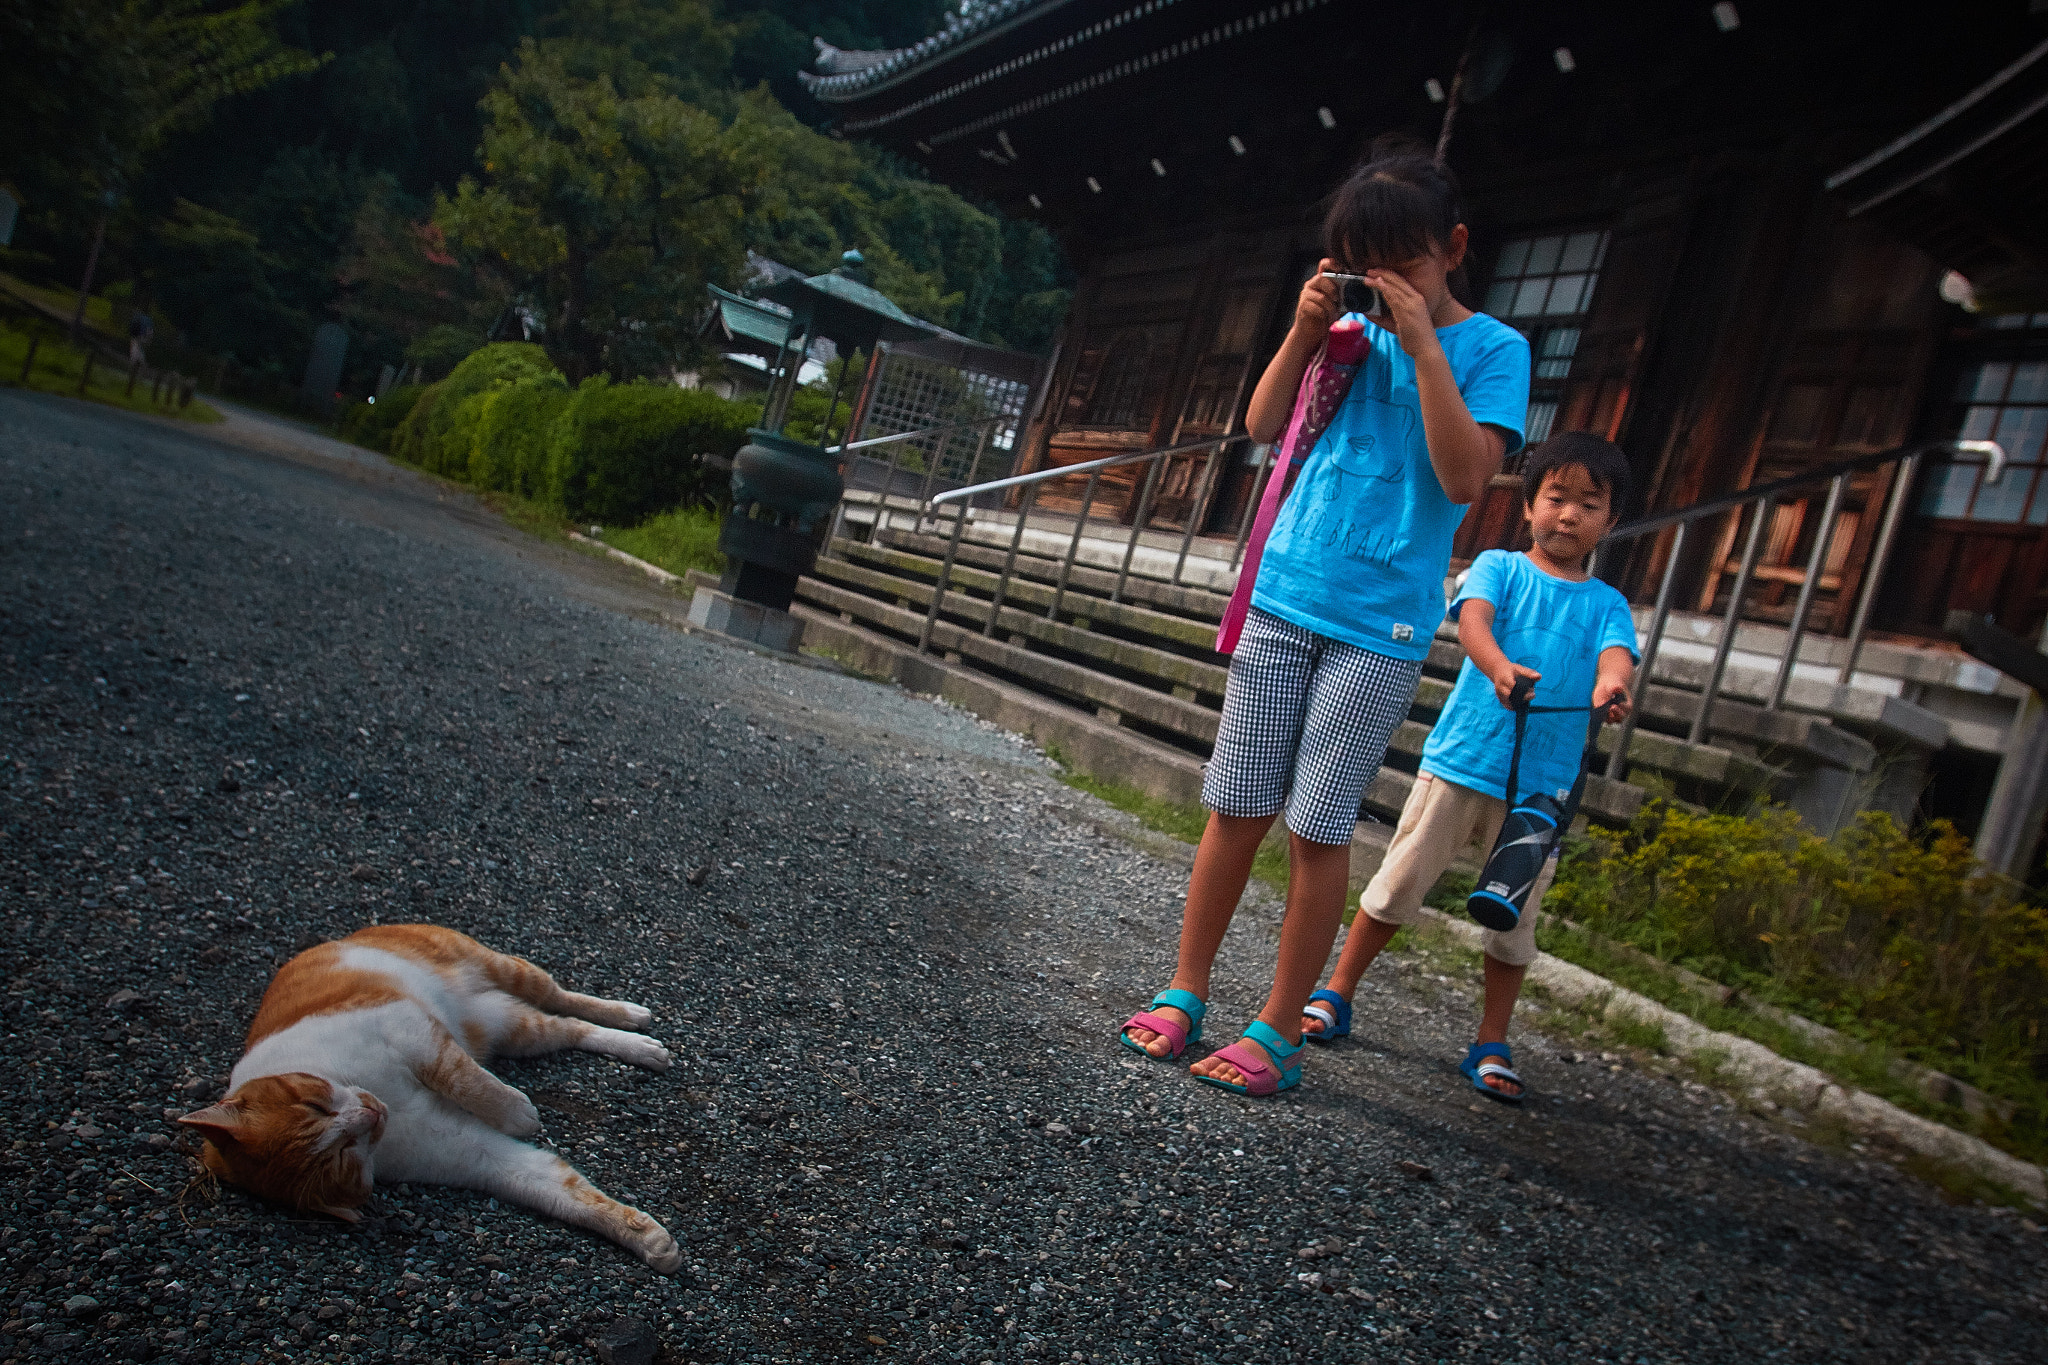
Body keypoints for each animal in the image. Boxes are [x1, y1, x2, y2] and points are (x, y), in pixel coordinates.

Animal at [180, 925, 684, 1277]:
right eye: (342, 1158)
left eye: (314, 1105)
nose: (370, 1114)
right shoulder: (470, 1153)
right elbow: (562, 1190)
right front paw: (645, 1239)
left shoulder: (410, 1027)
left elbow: (464, 1079)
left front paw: (518, 1114)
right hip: (514, 1027)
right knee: (565, 1029)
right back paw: (635, 1045)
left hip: (499, 968)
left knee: (561, 997)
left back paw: (631, 1019)